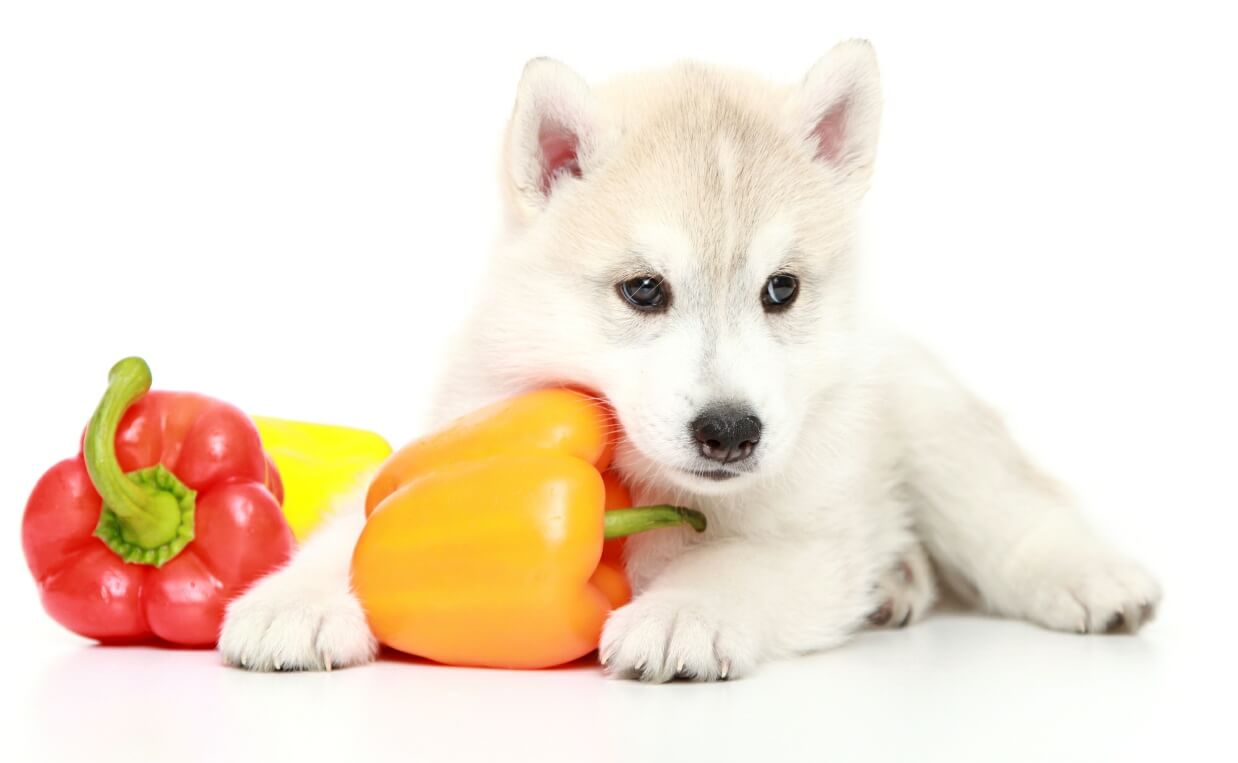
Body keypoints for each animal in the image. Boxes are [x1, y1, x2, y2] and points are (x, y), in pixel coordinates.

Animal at [220, 41, 1158, 683]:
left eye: (780, 289)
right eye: (644, 290)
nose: (730, 431)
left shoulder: (810, 538)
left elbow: (733, 568)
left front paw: (681, 615)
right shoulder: (446, 449)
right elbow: (357, 527)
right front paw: (293, 599)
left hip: (928, 427)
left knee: (1013, 514)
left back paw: (1091, 578)